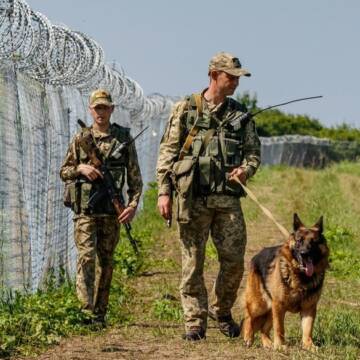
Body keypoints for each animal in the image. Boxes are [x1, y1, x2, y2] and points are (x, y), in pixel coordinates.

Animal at [242, 212, 330, 350]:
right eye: (299, 241)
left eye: (313, 242)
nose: (304, 253)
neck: (300, 276)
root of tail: (257, 255)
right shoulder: (279, 305)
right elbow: (280, 328)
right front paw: (280, 346)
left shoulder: (309, 308)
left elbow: (307, 329)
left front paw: (308, 345)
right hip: (260, 305)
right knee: (248, 317)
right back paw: (248, 338)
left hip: (270, 309)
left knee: (263, 329)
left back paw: (267, 343)